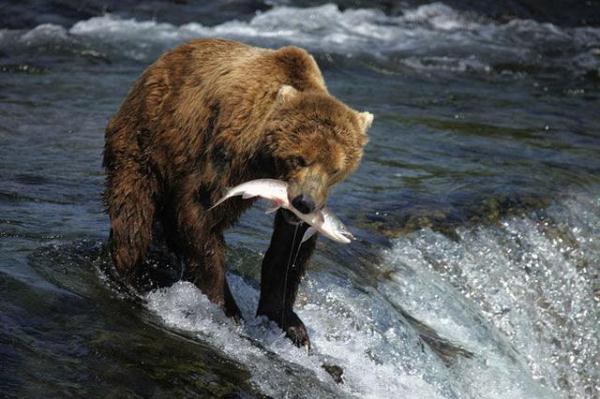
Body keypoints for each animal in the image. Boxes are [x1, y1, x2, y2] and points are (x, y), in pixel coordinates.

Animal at [105, 39, 372, 348]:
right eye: (300, 158)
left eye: (335, 169)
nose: (304, 202)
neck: (267, 160)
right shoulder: (230, 149)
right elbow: (200, 211)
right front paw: (226, 308)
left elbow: (289, 249)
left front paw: (290, 323)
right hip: (146, 140)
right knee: (133, 215)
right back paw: (133, 273)